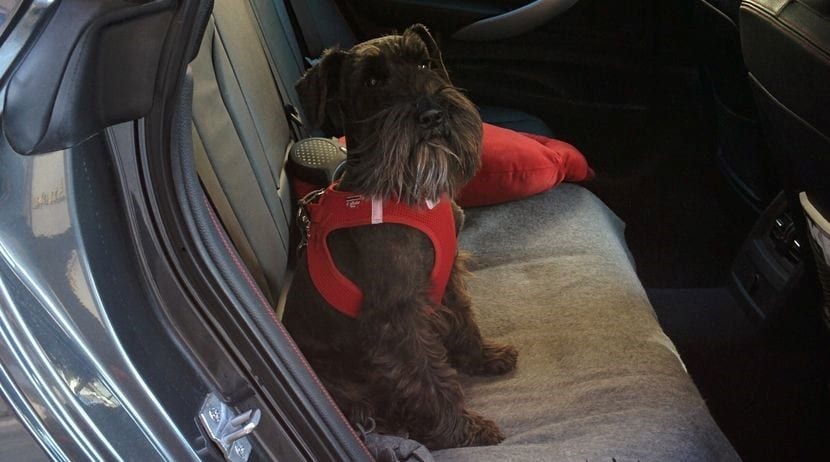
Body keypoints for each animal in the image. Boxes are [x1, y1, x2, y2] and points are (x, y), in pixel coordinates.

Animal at [286, 25, 520, 452]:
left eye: (424, 63)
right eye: (372, 81)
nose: (432, 115)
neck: (407, 191)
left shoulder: (447, 276)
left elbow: (464, 320)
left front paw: (483, 357)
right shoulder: (397, 316)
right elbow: (427, 376)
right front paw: (464, 431)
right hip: (341, 384)